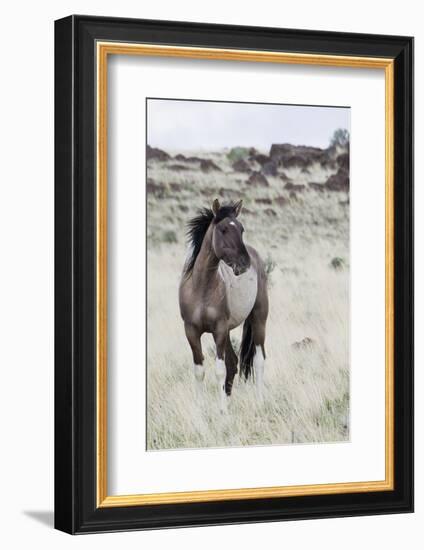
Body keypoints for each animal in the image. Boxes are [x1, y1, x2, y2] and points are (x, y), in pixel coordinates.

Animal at [179, 201, 268, 412]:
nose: (244, 264)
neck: (201, 287)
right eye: (224, 229)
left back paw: (259, 402)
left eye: (242, 229)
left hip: (259, 319)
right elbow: (199, 370)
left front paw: (222, 411)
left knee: (258, 360)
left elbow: (219, 370)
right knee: (233, 363)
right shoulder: (191, 331)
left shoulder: (218, 329)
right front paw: (200, 409)